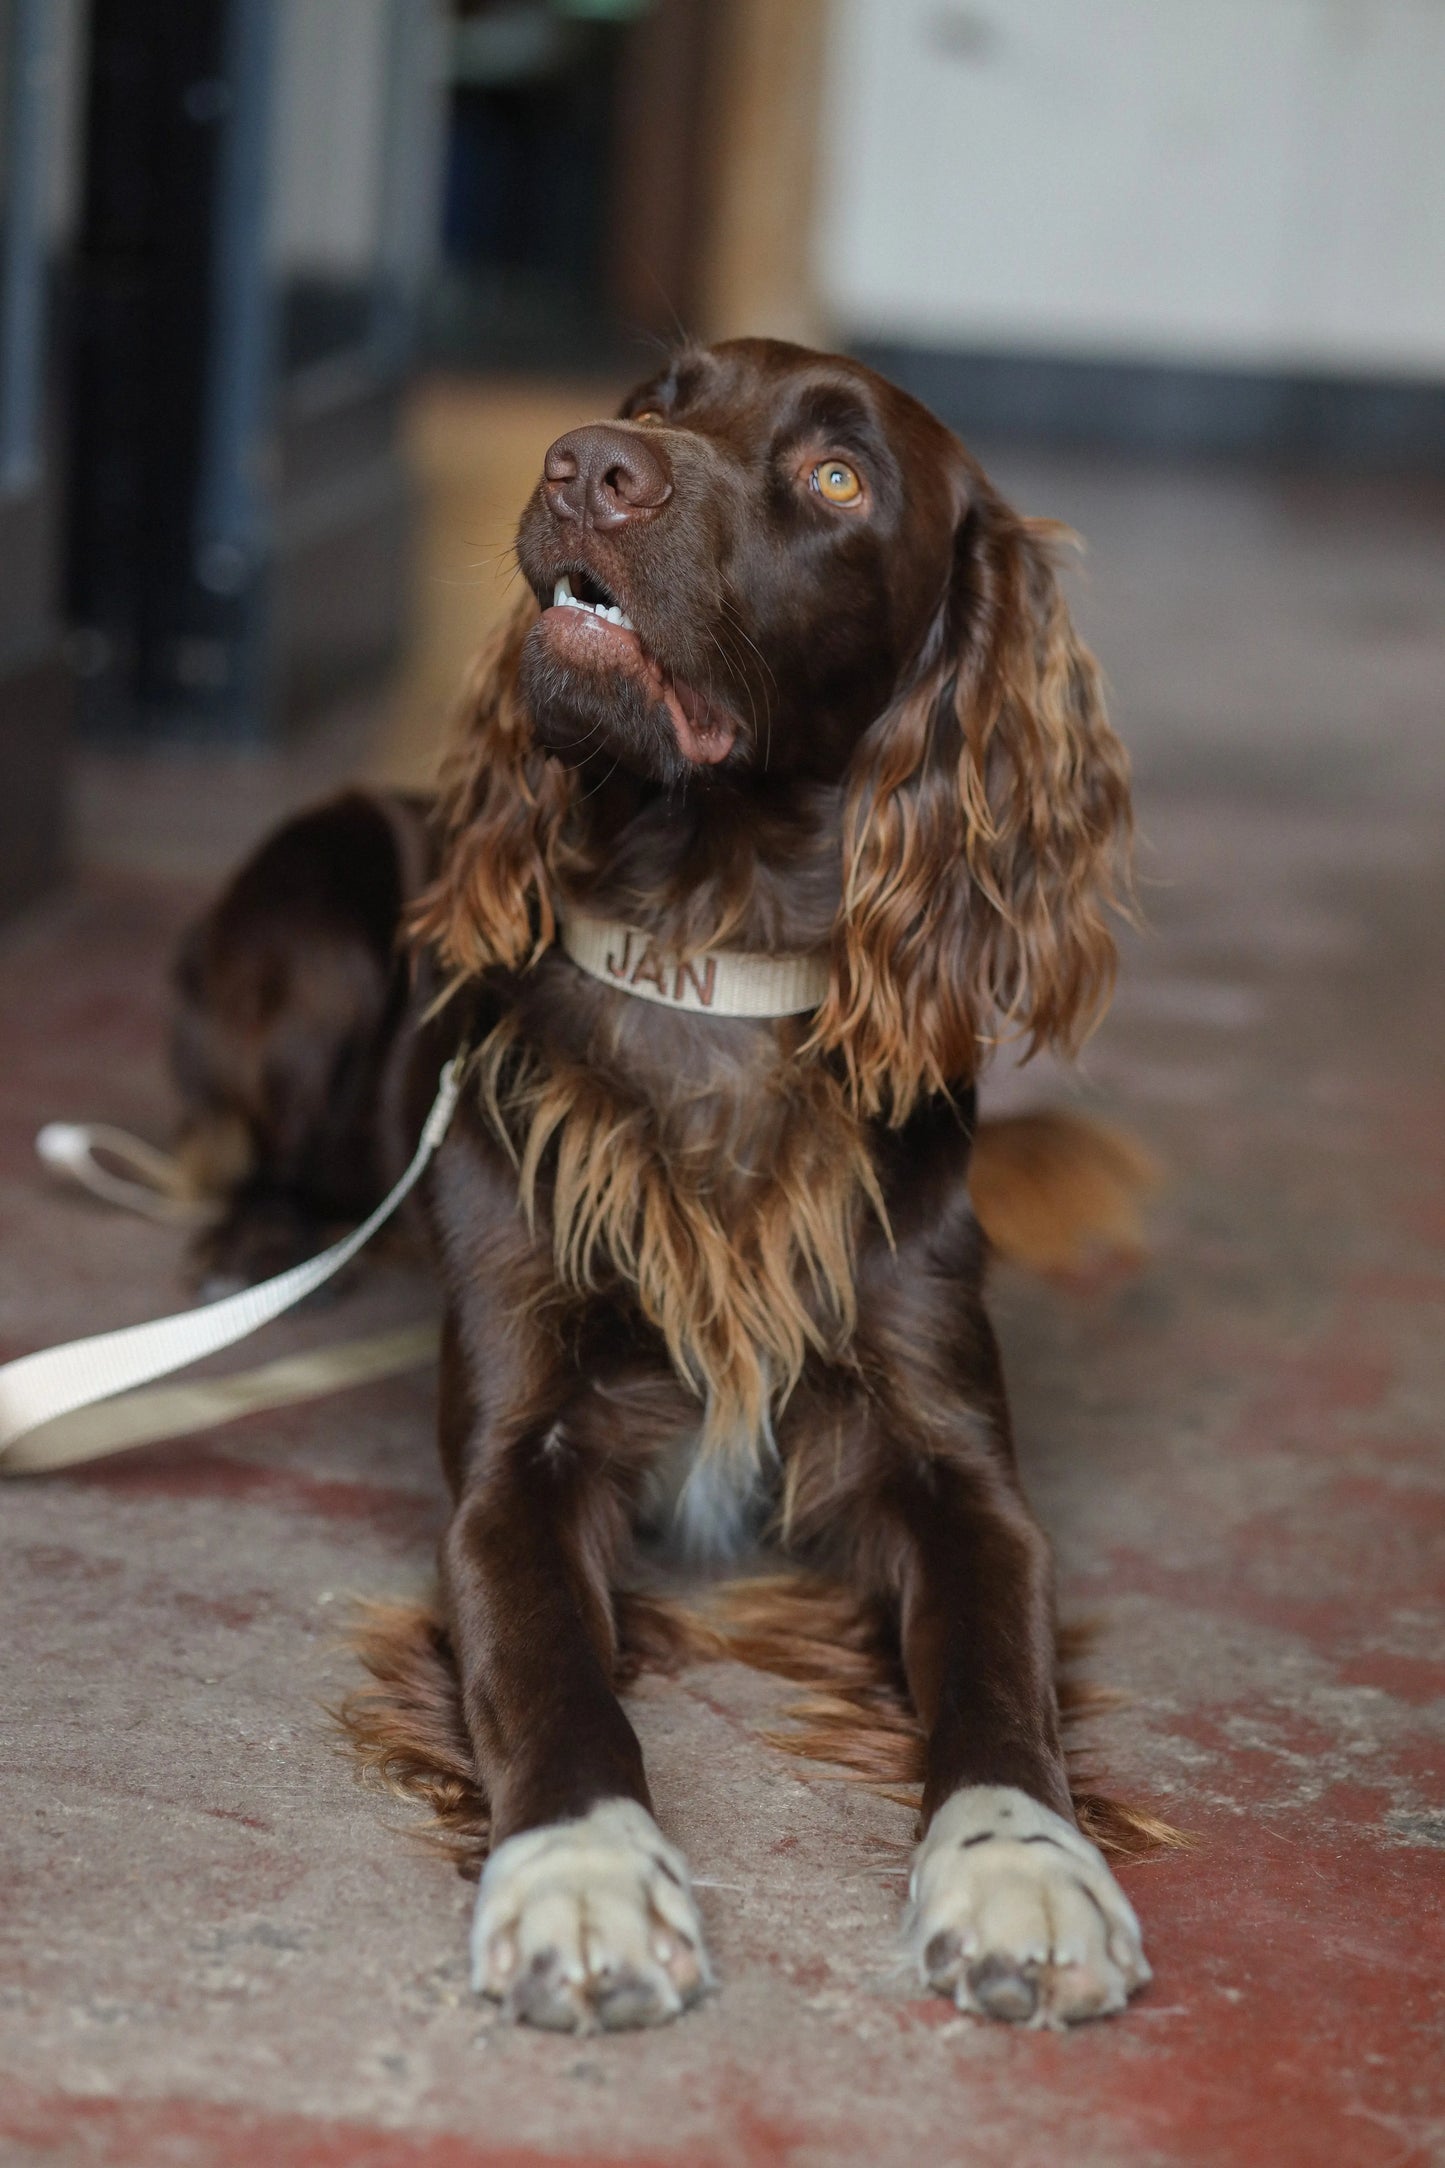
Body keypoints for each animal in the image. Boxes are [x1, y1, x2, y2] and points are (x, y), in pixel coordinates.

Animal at [175, 338, 1152, 2029]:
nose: (585, 463)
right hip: (311, 914)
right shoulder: (518, 1462)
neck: (710, 949)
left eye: (836, 477)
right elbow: (552, 1677)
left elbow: (999, 1679)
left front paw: (1025, 1870)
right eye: (656, 397)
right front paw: (580, 1878)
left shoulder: (958, 1467)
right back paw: (265, 1232)